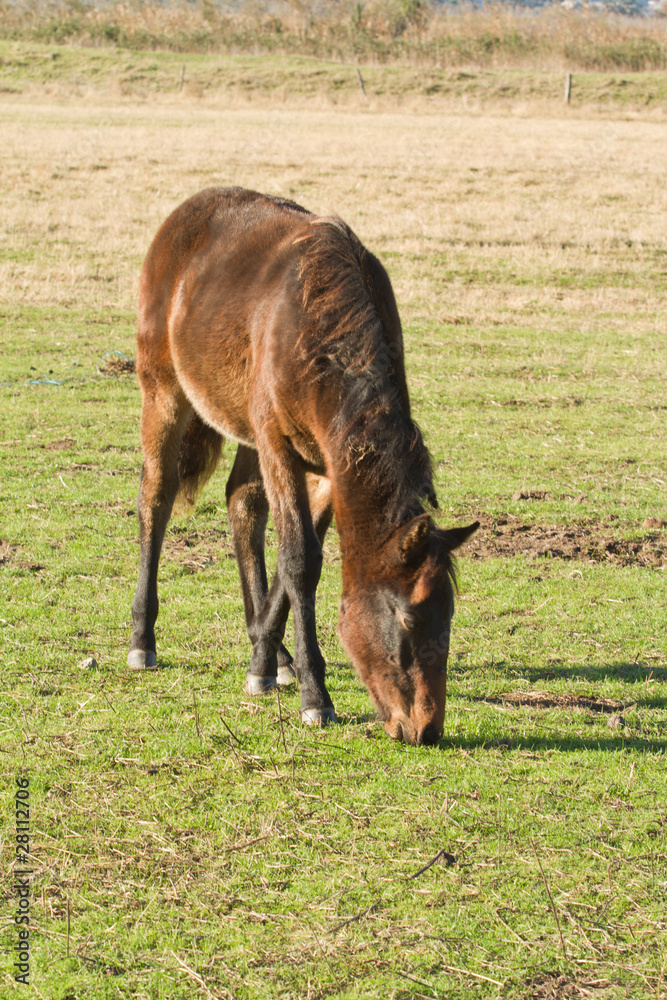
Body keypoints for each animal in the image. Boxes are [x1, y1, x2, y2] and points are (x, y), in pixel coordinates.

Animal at [128, 187, 478, 746]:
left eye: (448, 619)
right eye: (406, 621)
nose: (425, 728)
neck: (322, 337)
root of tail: (183, 215)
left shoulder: (329, 465)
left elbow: (296, 559)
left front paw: (265, 660)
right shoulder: (278, 446)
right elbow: (300, 559)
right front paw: (315, 696)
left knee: (241, 505)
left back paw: (275, 656)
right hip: (162, 391)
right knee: (156, 498)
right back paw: (142, 640)